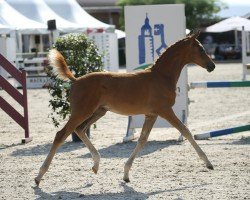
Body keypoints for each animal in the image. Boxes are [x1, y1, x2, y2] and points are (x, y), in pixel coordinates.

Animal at [34, 30, 215, 186]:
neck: (161, 77)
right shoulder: (165, 111)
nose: (212, 66)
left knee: (80, 130)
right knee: (61, 134)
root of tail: (76, 80)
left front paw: (126, 174)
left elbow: (142, 140)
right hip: (82, 112)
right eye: (200, 49)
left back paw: (96, 164)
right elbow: (185, 131)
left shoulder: (151, 114)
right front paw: (208, 163)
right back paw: (39, 176)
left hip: (99, 111)